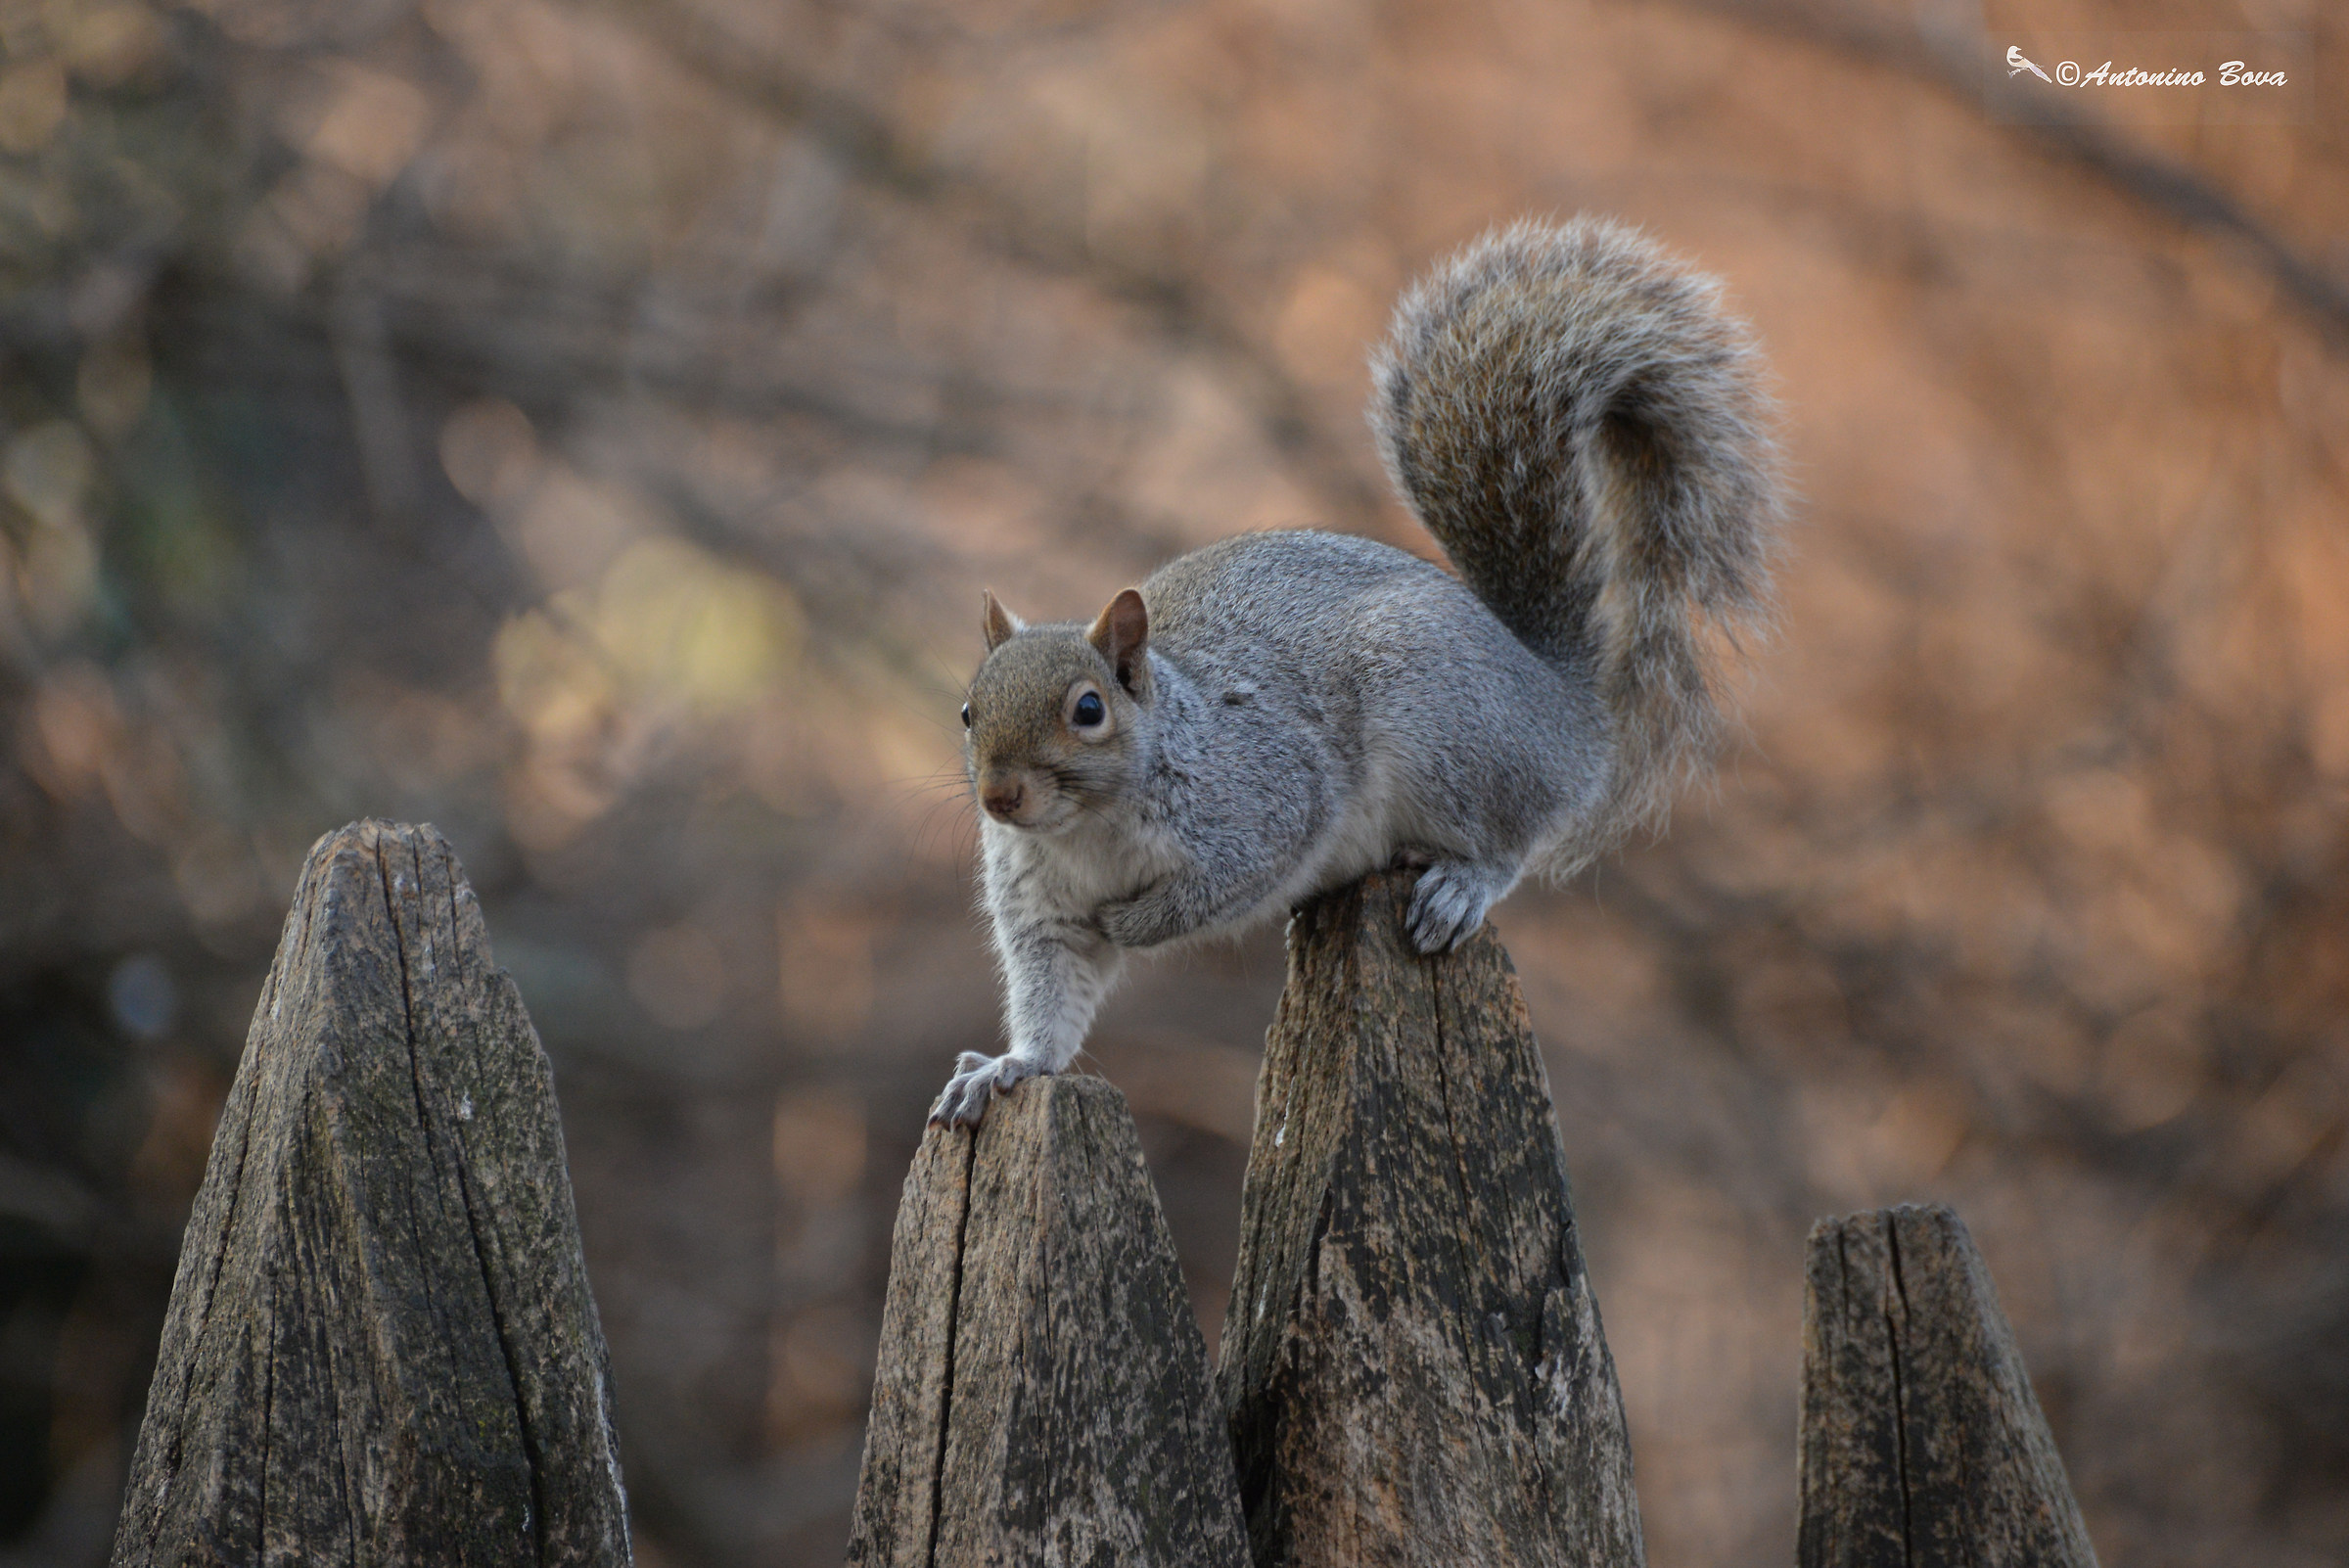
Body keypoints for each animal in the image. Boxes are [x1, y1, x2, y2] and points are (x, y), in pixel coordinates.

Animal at [930, 215, 1781, 1128]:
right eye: (968, 713)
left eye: (1088, 710)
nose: (999, 798)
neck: (1086, 828)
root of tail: (1562, 702)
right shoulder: (1039, 907)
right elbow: (1051, 995)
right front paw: (1009, 1066)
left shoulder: (1264, 802)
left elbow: (1224, 881)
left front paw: (1139, 924)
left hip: (1444, 732)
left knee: (1510, 839)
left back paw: (1462, 884)